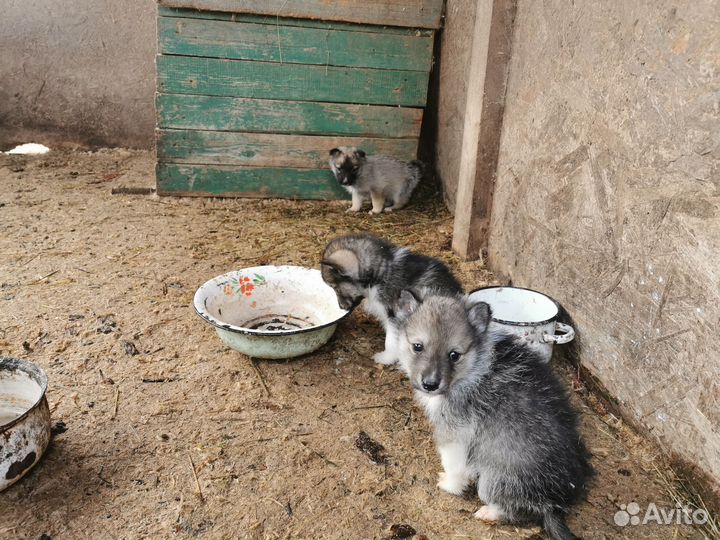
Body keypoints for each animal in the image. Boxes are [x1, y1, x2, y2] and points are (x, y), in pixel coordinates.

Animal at [320, 234, 462, 364]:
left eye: (335, 288)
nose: (341, 307)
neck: (381, 275)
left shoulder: (395, 316)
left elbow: (391, 340)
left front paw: (386, 358)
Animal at [394, 292, 592, 540]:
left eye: (454, 355)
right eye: (418, 347)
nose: (430, 384)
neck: (475, 365)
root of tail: (553, 506)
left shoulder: (456, 432)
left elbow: (453, 465)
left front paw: (450, 485)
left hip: (494, 478)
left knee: (521, 510)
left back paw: (490, 512)